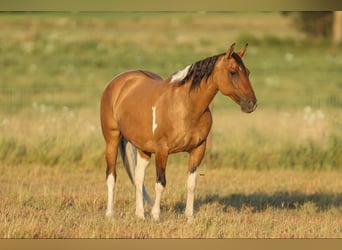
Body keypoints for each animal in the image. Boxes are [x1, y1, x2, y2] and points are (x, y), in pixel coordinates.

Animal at [99, 43, 256, 223]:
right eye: (233, 72)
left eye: (248, 72)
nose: (252, 104)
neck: (184, 105)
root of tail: (118, 81)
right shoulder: (162, 150)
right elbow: (160, 183)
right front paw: (156, 216)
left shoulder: (198, 150)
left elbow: (191, 184)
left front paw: (190, 217)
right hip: (112, 140)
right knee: (111, 176)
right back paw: (110, 214)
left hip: (143, 148)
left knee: (138, 178)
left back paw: (140, 215)